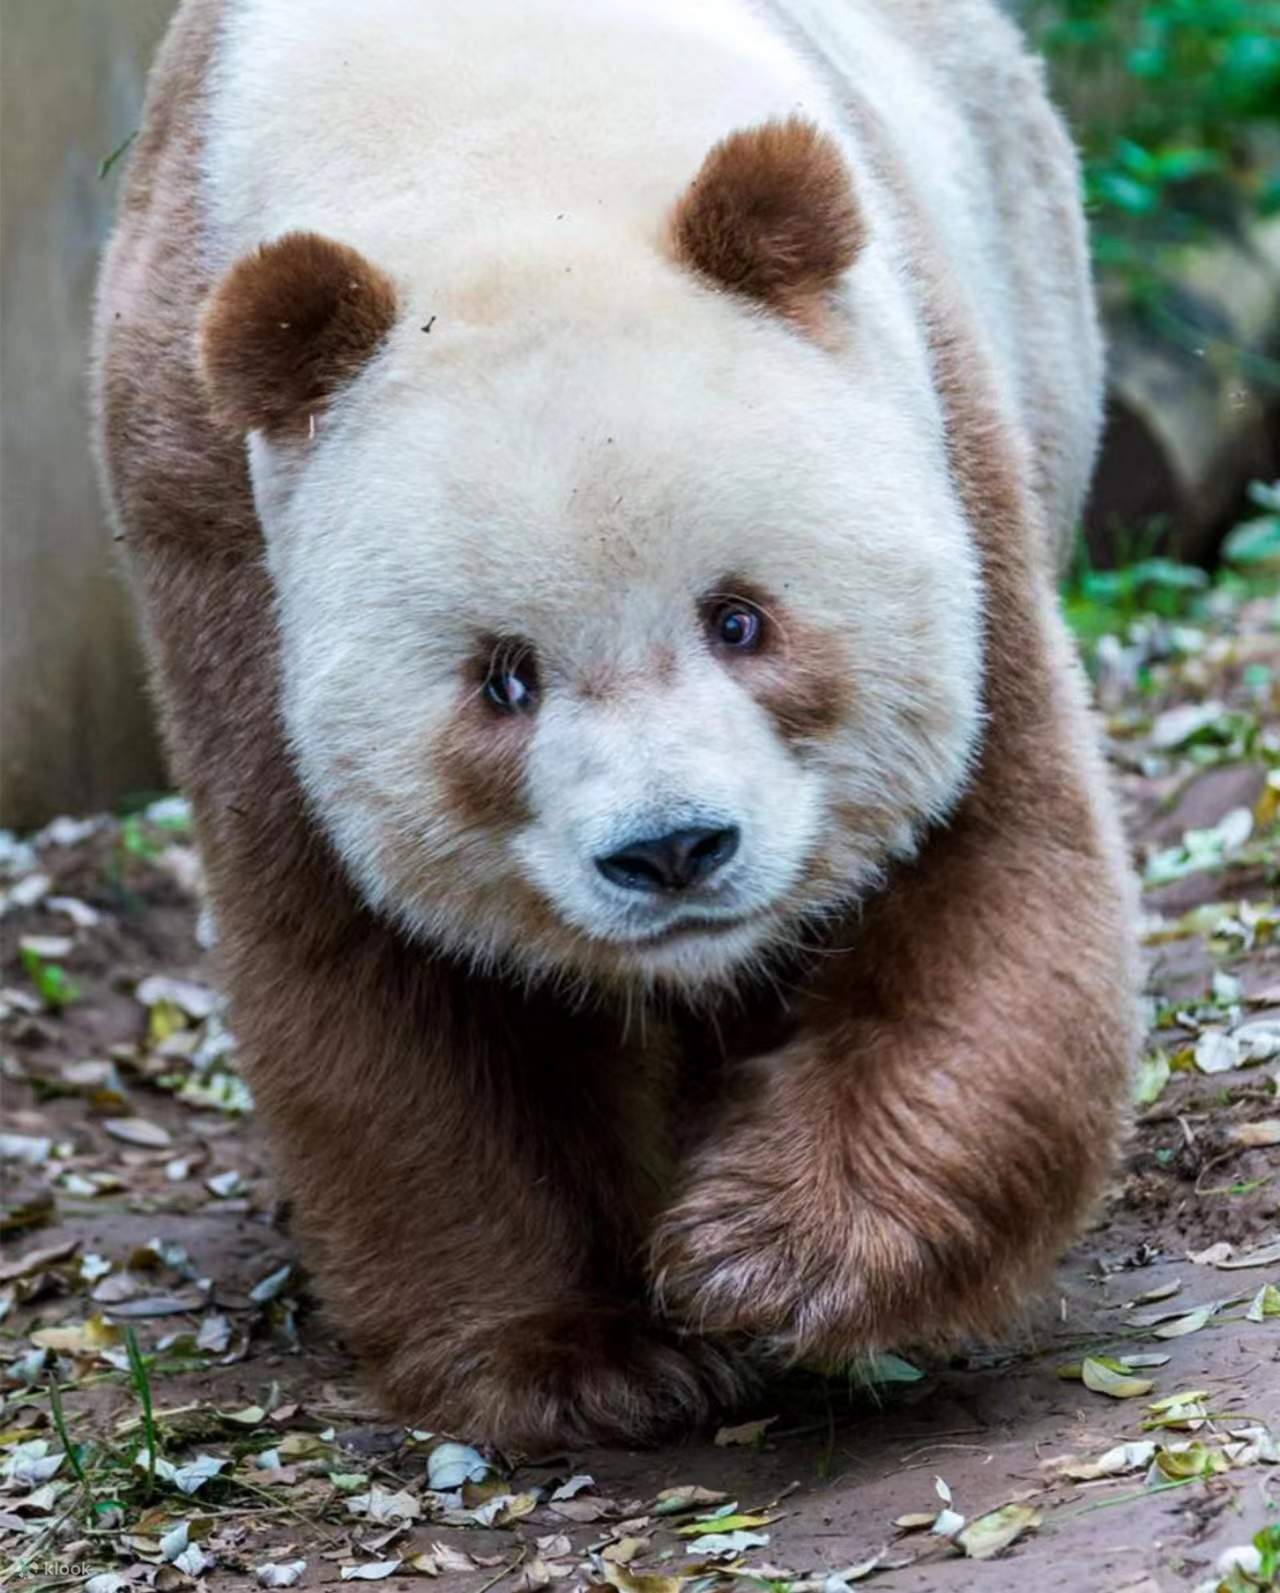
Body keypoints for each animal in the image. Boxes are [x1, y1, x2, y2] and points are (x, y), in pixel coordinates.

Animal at [92, 0, 1140, 1448]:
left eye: (739, 619)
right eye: (503, 680)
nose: (672, 851)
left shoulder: (939, 413)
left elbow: (987, 853)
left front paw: (773, 1253)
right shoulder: (208, 511)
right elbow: (378, 972)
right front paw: (579, 1355)